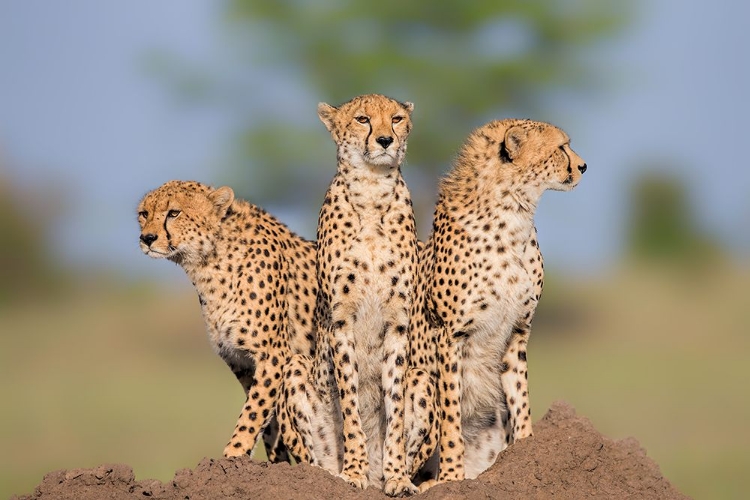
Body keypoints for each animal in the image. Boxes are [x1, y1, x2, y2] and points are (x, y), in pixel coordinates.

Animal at [137, 180, 336, 468]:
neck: (209, 262)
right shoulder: (242, 363)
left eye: (174, 213)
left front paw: (232, 455)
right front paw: (270, 465)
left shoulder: (272, 356)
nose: (147, 238)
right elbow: (267, 423)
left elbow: (253, 413)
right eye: (144, 214)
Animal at [312, 94, 434, 496]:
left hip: (422, 377)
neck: (371, 190)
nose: (384, 140)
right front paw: (353, 471)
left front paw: (396, 477)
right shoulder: (340, 322)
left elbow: (394, 408)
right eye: (363, 119)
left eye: (396, 119)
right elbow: (350, 406)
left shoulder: (398, 325)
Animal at [418, 118, 588, 484]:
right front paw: (451, 477)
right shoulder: (450, 336)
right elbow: (451, 414)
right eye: (561, 147)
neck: (513, 213)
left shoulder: (517, 331)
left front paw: (525, 450)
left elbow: (520, 398)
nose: (583, 166)